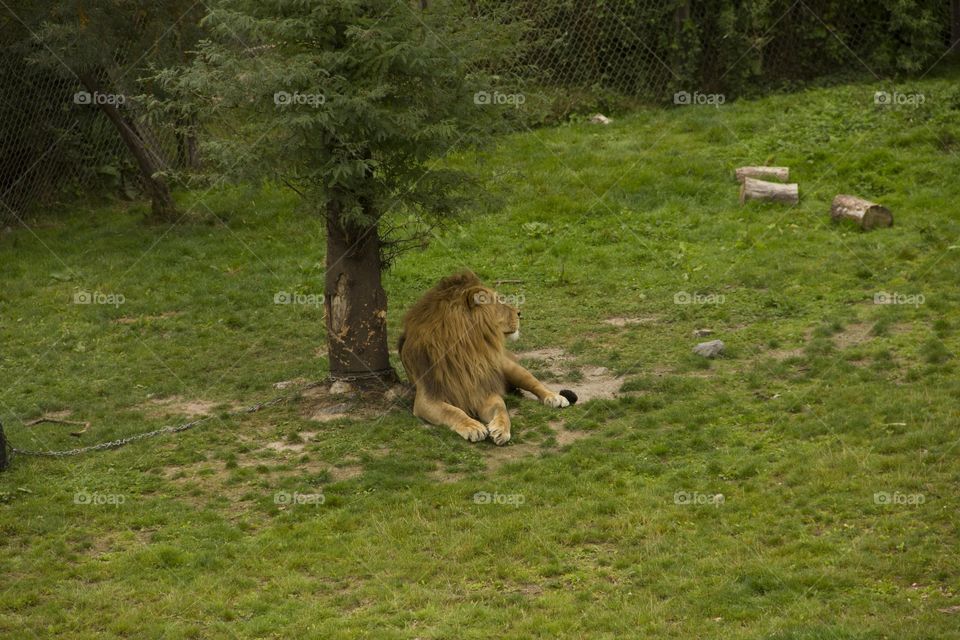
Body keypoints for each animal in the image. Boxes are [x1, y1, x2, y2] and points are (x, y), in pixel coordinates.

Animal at [398, 270, 576, 445]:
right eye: (497, 302)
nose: (520, 313)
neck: (467, 350)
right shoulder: (426, 398)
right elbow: (452, 411)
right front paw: (473, 426)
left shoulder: (482, 388)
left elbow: (501, 406)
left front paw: (501, 429)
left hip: (509, 367)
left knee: (534, 382)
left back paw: (554, 397)